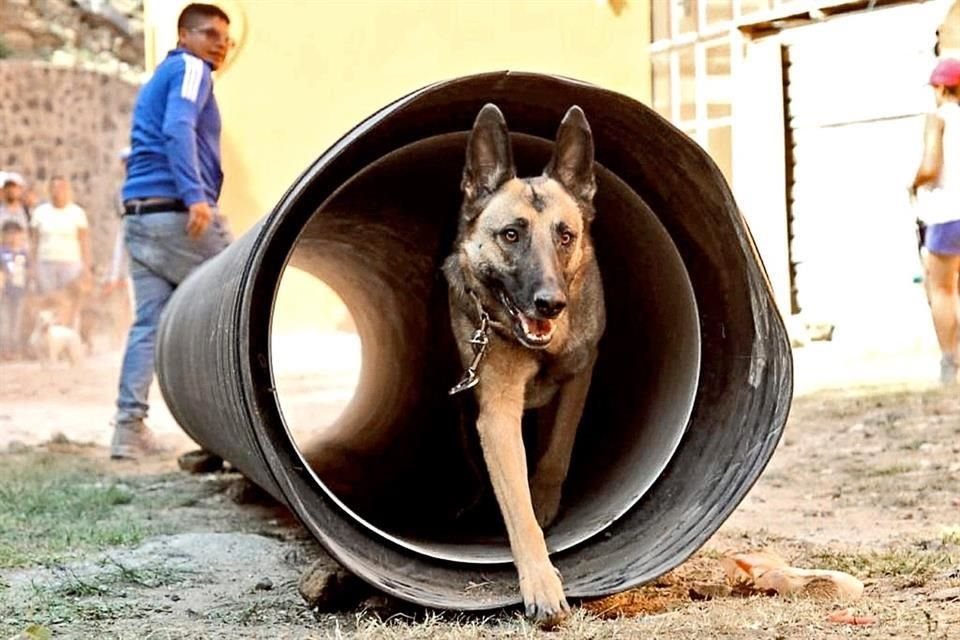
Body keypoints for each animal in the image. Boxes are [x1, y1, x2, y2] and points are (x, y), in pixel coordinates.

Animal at [444, 105, 608, 624]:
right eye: (511, 235)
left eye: (565, 236)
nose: (550, 304)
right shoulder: (496, 417)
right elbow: (518, 511)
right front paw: (540, 581)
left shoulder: (581, 372)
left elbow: (557, 451)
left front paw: (546, 499)